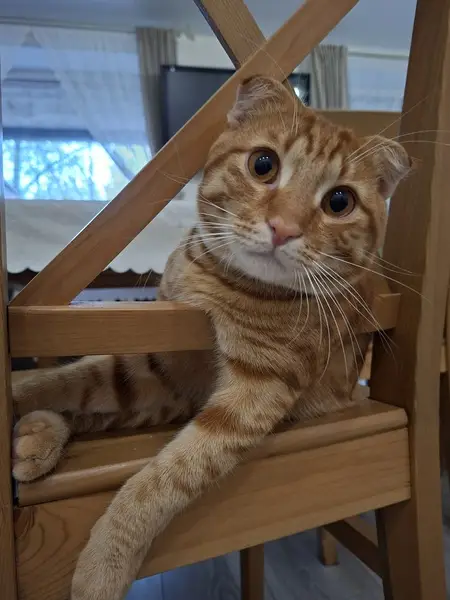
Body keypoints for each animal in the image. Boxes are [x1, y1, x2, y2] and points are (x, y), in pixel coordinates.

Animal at [12, 75, 412, 600]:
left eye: (339, 202)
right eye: (263, 164)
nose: (283, 228)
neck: (219, 282)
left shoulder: (252, 395)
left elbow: (165, 478)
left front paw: (104, 560)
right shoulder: (157, 367)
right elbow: (62, 380)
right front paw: (24, 397)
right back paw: (40, 434)